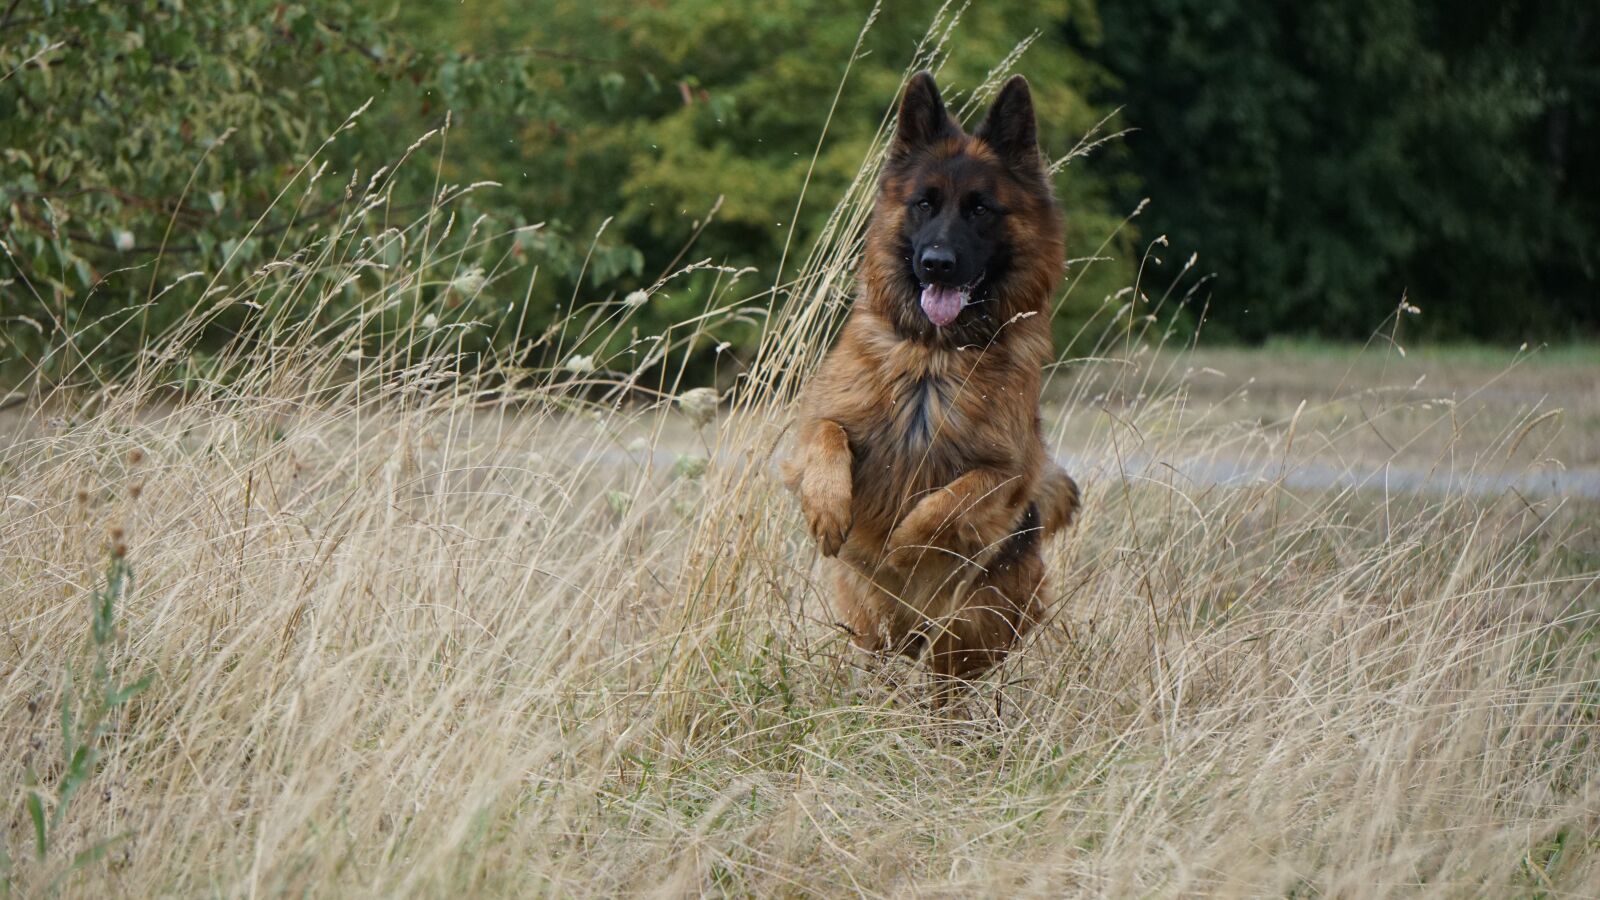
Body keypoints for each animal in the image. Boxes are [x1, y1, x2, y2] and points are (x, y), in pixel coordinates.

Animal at [784, 73, 1081, 688]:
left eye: (980, 210)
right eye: (924, 203)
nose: (936, 264)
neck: (934, 357)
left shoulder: (1010, 472)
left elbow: (946, 505)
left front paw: (902, 548)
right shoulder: (812, 428)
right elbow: (827, 436)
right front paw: (828, 510)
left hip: (968, 632)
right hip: (873, 628)